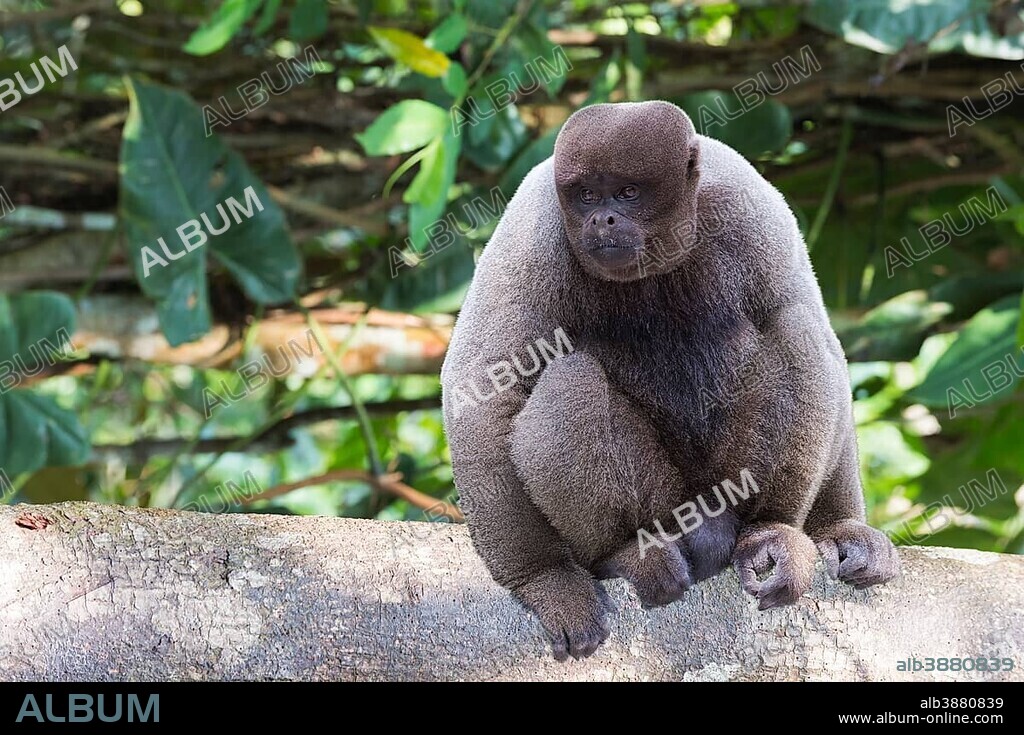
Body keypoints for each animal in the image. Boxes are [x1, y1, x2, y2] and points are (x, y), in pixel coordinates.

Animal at [440, 101, 899, 661]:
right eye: (586, 195)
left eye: (628, 193)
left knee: (795, 326)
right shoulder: (535, 230)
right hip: (666, 499)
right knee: (572, 377)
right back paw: (628, 552)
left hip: (724, 482)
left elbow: (825, 343)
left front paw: (841, 530)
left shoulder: (752, 204)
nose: (603, 218)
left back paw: (771, 532)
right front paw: (544, 579)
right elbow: (484, 392)